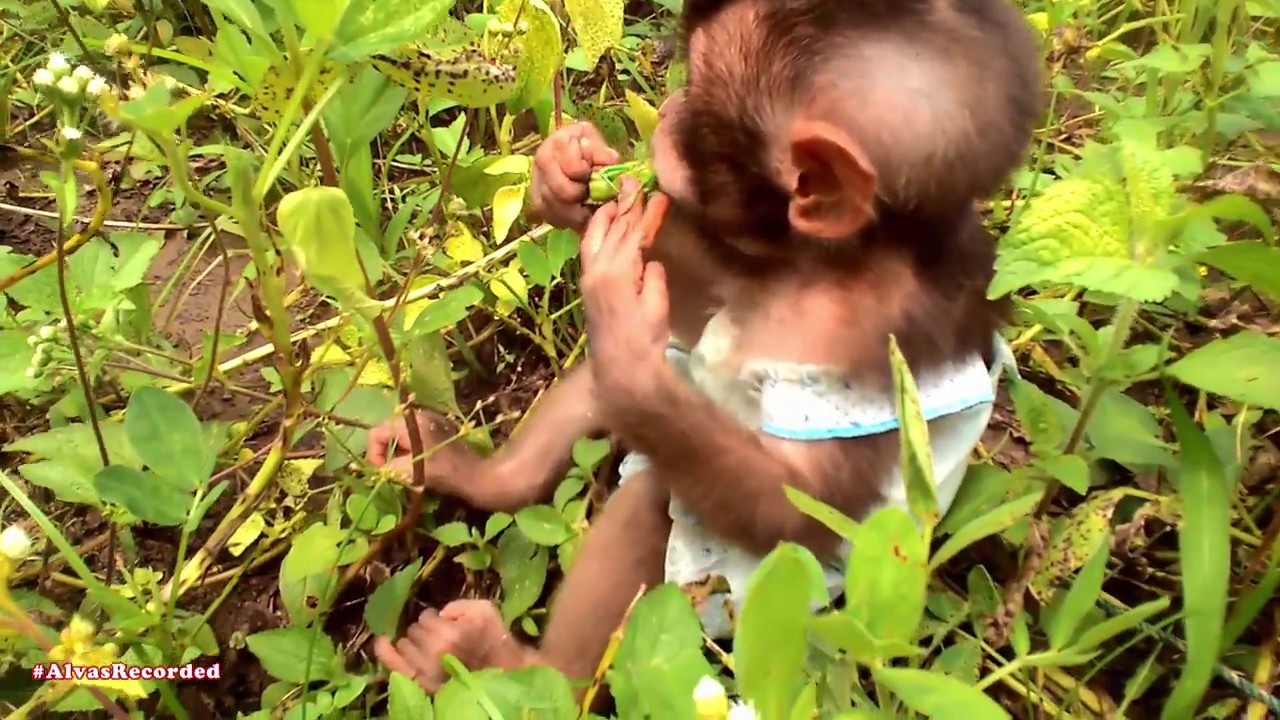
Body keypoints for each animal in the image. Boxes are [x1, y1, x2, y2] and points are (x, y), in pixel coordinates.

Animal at [369, 0, 1043, 697]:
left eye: (695, 87)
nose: (667, 110)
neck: (838, 257)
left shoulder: (862, 346)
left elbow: (797, 504)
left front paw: (622, 319)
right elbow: (706, 293)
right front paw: (567, 172)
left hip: (740, 598)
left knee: (651, 504)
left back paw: (506, 665)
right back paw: (470, 472)